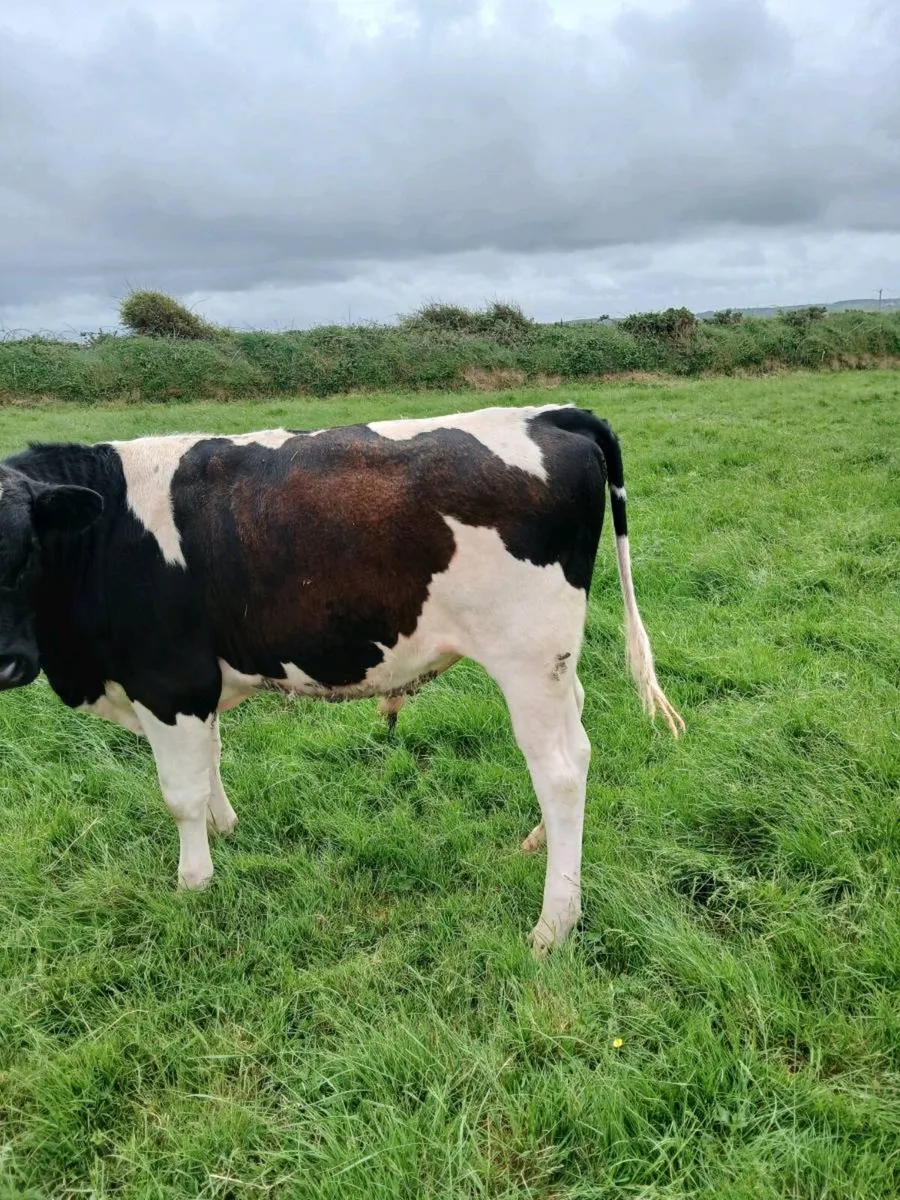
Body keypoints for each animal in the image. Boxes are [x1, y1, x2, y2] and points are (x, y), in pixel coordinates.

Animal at [0, 404, 683, 954]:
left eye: (25, 548)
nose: (6, 663)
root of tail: (549, 413)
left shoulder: (170, 683)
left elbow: (181, 795)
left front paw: (193, 883)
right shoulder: (200, 685)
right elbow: (211, 759)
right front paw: (227, 830)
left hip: (528, 657)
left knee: (561, 772)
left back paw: (554, 923)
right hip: (554, 663)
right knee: (579, 737)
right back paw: (540, 842)